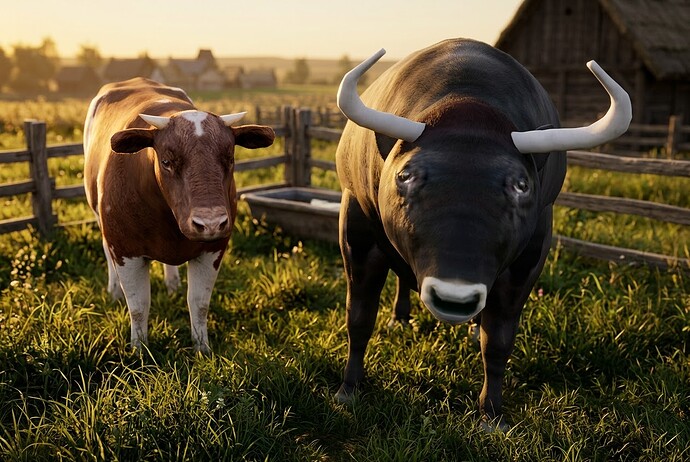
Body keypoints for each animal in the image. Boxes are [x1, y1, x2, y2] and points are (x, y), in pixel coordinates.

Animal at [83, 78, 275, 353]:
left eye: (229, 158)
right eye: (166, 161)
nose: (211, 223)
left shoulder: (213, 249)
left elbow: (199, 303)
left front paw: (202, 349)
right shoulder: (124, 249)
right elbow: (139, 307)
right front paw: (139, 349)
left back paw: (172, 284)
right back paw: (114, 291)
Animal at [334, 39, 631, 427]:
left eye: (521, 185)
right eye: (405, 176)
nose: (454, 297)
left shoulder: (530, 256)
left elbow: (499, 340)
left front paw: (491, 413)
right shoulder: (357, 231)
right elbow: (359, 317)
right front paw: (349, 389)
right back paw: (400, 318)